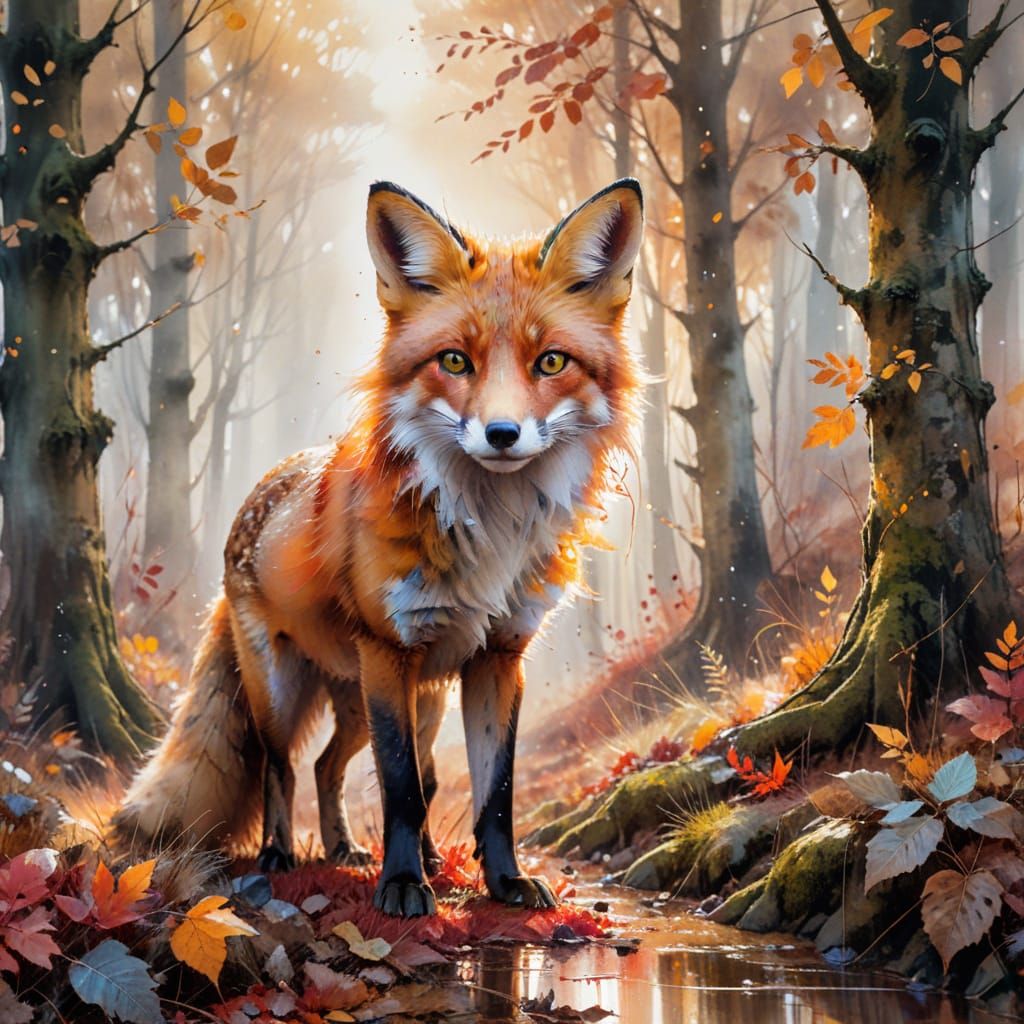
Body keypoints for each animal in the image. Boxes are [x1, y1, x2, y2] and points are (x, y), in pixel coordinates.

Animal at [114, 177, 644, 916]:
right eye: (454, 361)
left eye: (551, 362)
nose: (502, 434)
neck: (490, 534)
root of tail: (260, 492)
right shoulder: (390, 652)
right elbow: (401, 790)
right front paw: (401, 886)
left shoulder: (497, 658)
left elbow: (491, 793)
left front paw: (502, 881)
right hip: (290, 690)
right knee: (283, 766)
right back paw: (282, 855)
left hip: (396, 699)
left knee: (331, 765)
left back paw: (353, 850)